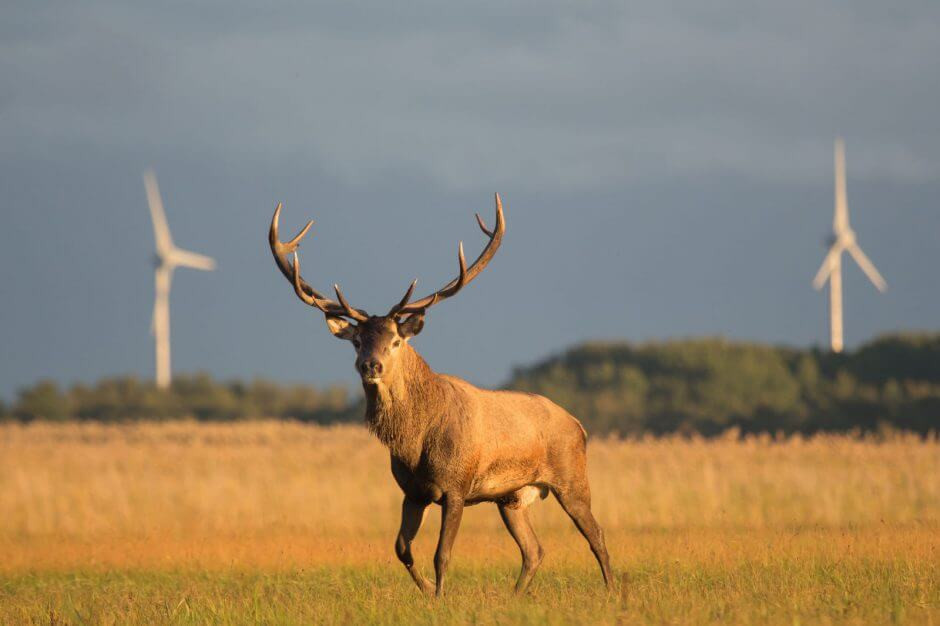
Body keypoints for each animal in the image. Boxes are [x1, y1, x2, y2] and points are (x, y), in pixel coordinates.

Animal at [268, 193, 612, 592]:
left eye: (396, 340)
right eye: (356, 341)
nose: (371, 366)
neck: (416, 442)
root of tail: (578, 424)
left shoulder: (456, 487)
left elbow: (441, 555)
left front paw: (440, 596)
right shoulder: (412, 492)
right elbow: (402, 549)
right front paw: (428, 592)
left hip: (572, 478)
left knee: (596, 536)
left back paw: (611, 593)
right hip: (510, 497)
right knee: (534, 550)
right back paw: (516, 597)